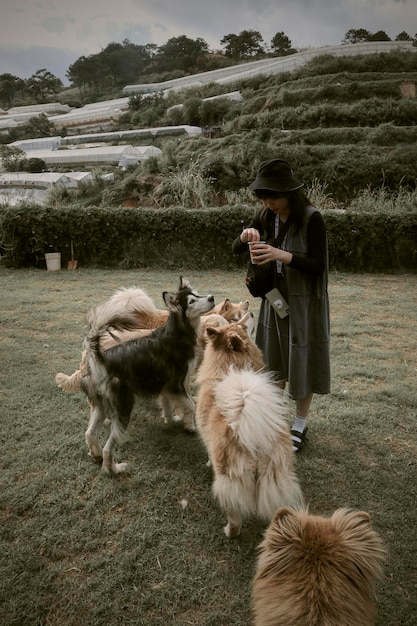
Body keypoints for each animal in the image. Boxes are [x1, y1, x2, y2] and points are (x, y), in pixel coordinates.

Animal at [195, 316, 302, 536]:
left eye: (241, 326)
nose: (252, 314)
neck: (228, 366)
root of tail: (257, 439)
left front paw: (208, 463)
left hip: (228, 480)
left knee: (235, 516)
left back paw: (229, 532)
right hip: (275, 478)